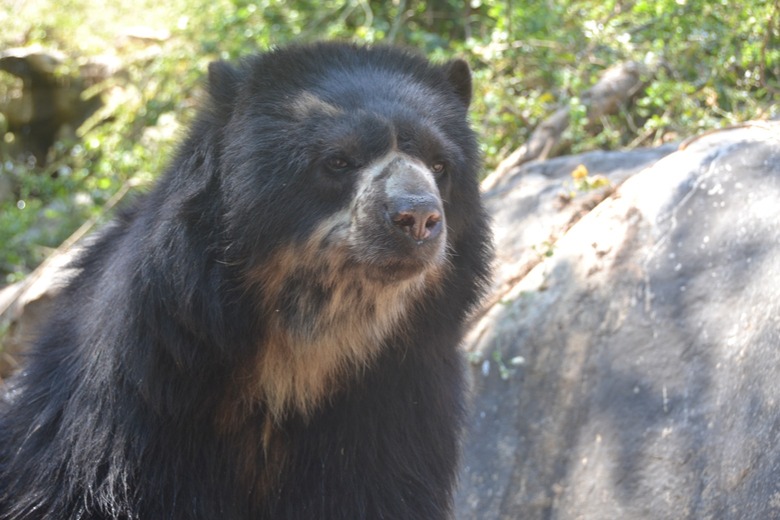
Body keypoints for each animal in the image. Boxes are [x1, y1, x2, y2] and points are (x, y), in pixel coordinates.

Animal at [0, 42, 492, 519]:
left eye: (441, 165)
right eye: (338, 160)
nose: (418, 217)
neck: (302, 350)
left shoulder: (398, 401)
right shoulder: (144, 390)